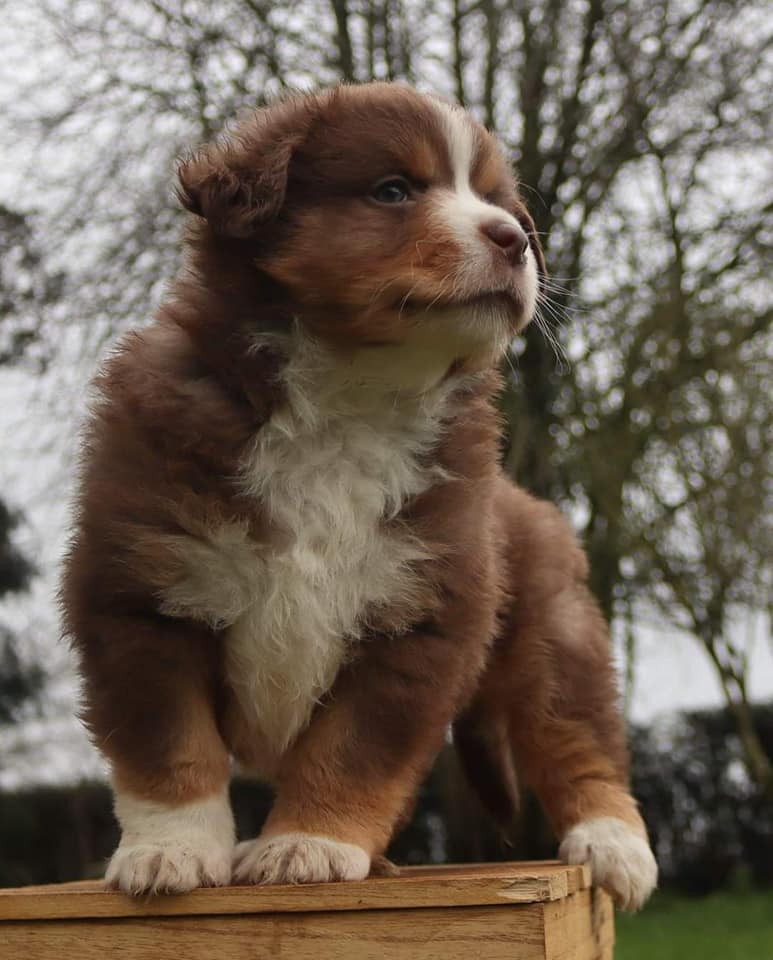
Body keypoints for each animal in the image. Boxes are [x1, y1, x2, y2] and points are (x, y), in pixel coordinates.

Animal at [63, 80, 656, 908]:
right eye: (393, 190)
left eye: (498, 204)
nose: (512, 238)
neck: (350, 402)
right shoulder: (141, 594)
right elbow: (169, 745)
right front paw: (168, 855)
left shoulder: (418, 616)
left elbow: (351, 752)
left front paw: (308, 844)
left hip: (554, 633)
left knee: (576, 736)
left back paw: (612, 846)